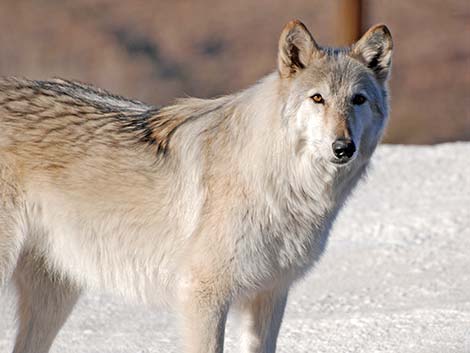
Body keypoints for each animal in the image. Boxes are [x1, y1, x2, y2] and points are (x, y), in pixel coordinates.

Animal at [0, 20, 392, 352]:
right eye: (317, 98)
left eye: (358, 99)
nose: (343, 147)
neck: (281, 181)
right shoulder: (203, 295)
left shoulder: (270, 294)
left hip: (56, 294)